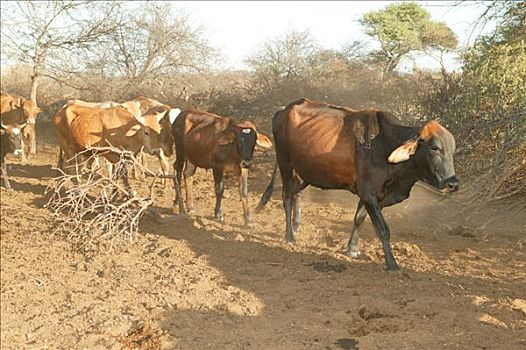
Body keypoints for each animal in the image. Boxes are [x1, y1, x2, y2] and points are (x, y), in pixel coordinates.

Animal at [258, 98, 460, 270]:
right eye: (434, 148)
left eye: (452, 149)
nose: (453, 183)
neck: (384, 145)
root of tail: (283, 111)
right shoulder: (369, 193)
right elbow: (383, 229)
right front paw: (391, 264)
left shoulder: (369, 195)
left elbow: (359, 218)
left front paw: (352, 248)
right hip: (285, 162)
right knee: (286, 196)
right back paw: (290, 236)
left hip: (303, 172)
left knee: (296, 193)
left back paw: (296, 224)